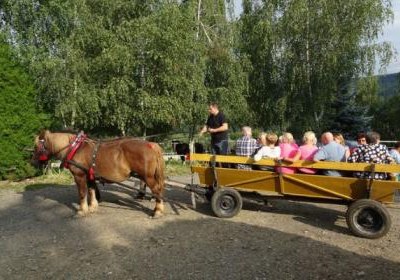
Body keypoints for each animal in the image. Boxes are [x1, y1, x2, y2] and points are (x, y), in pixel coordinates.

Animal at [32, 130, 165, 218]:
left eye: (36, 146)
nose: (33, 162)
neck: (75, 149)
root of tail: (151, 145)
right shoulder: (89, 175)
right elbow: (91, 190)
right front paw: (92, 207)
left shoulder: (79, 176)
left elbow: (82, 193)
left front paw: (82, 210)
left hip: (148, 176)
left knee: (157, 190)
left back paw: (157, 210)